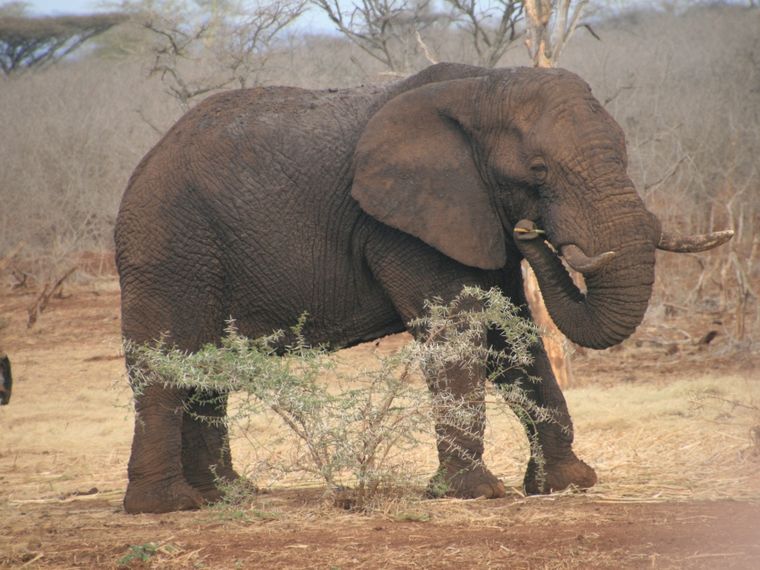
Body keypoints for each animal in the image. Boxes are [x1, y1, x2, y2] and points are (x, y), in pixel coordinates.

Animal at [115, 63, 732, 514]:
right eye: (538, 171)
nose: (530, 229)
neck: (483, 86)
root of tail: (144, 162)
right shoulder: (404, 225)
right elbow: (457, 329)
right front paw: (477, 495)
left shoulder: (473, 216)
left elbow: (511, 336)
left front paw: (568, 484)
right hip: (170, 247)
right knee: (167, 365)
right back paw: (168, 507)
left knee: (206, 372)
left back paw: (228, 496)